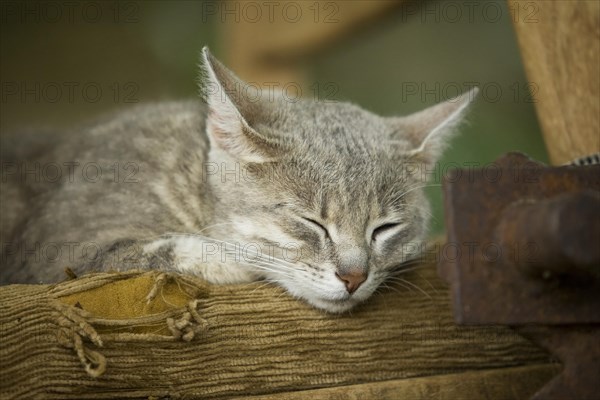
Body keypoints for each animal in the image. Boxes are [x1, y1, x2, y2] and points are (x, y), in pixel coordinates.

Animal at [0, 47, 478, 312]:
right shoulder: (60, 252)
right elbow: (162, 253)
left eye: (385, 228)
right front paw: (237, 255)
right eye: (311, 223)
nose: (354, 277)